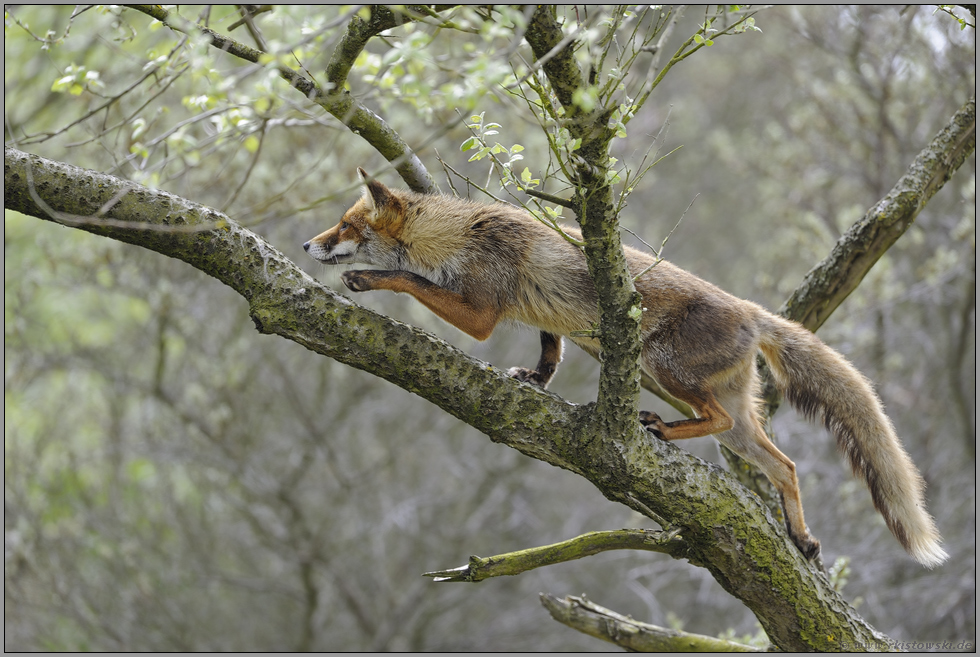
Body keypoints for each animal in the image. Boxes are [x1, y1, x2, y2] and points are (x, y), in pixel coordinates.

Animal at [306, 169, 948, 568]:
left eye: (345, 226)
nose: (310, 244)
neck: (459, 233)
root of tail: (750, 311)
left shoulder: (483, 311)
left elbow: (406, 279)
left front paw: (367, 279)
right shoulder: (545, 320)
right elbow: (550, 352)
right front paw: (536, 381)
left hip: (665, 370)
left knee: (718, 423)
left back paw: (661, 428)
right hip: (737, 425)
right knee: (785, 465)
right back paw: (800, 536)